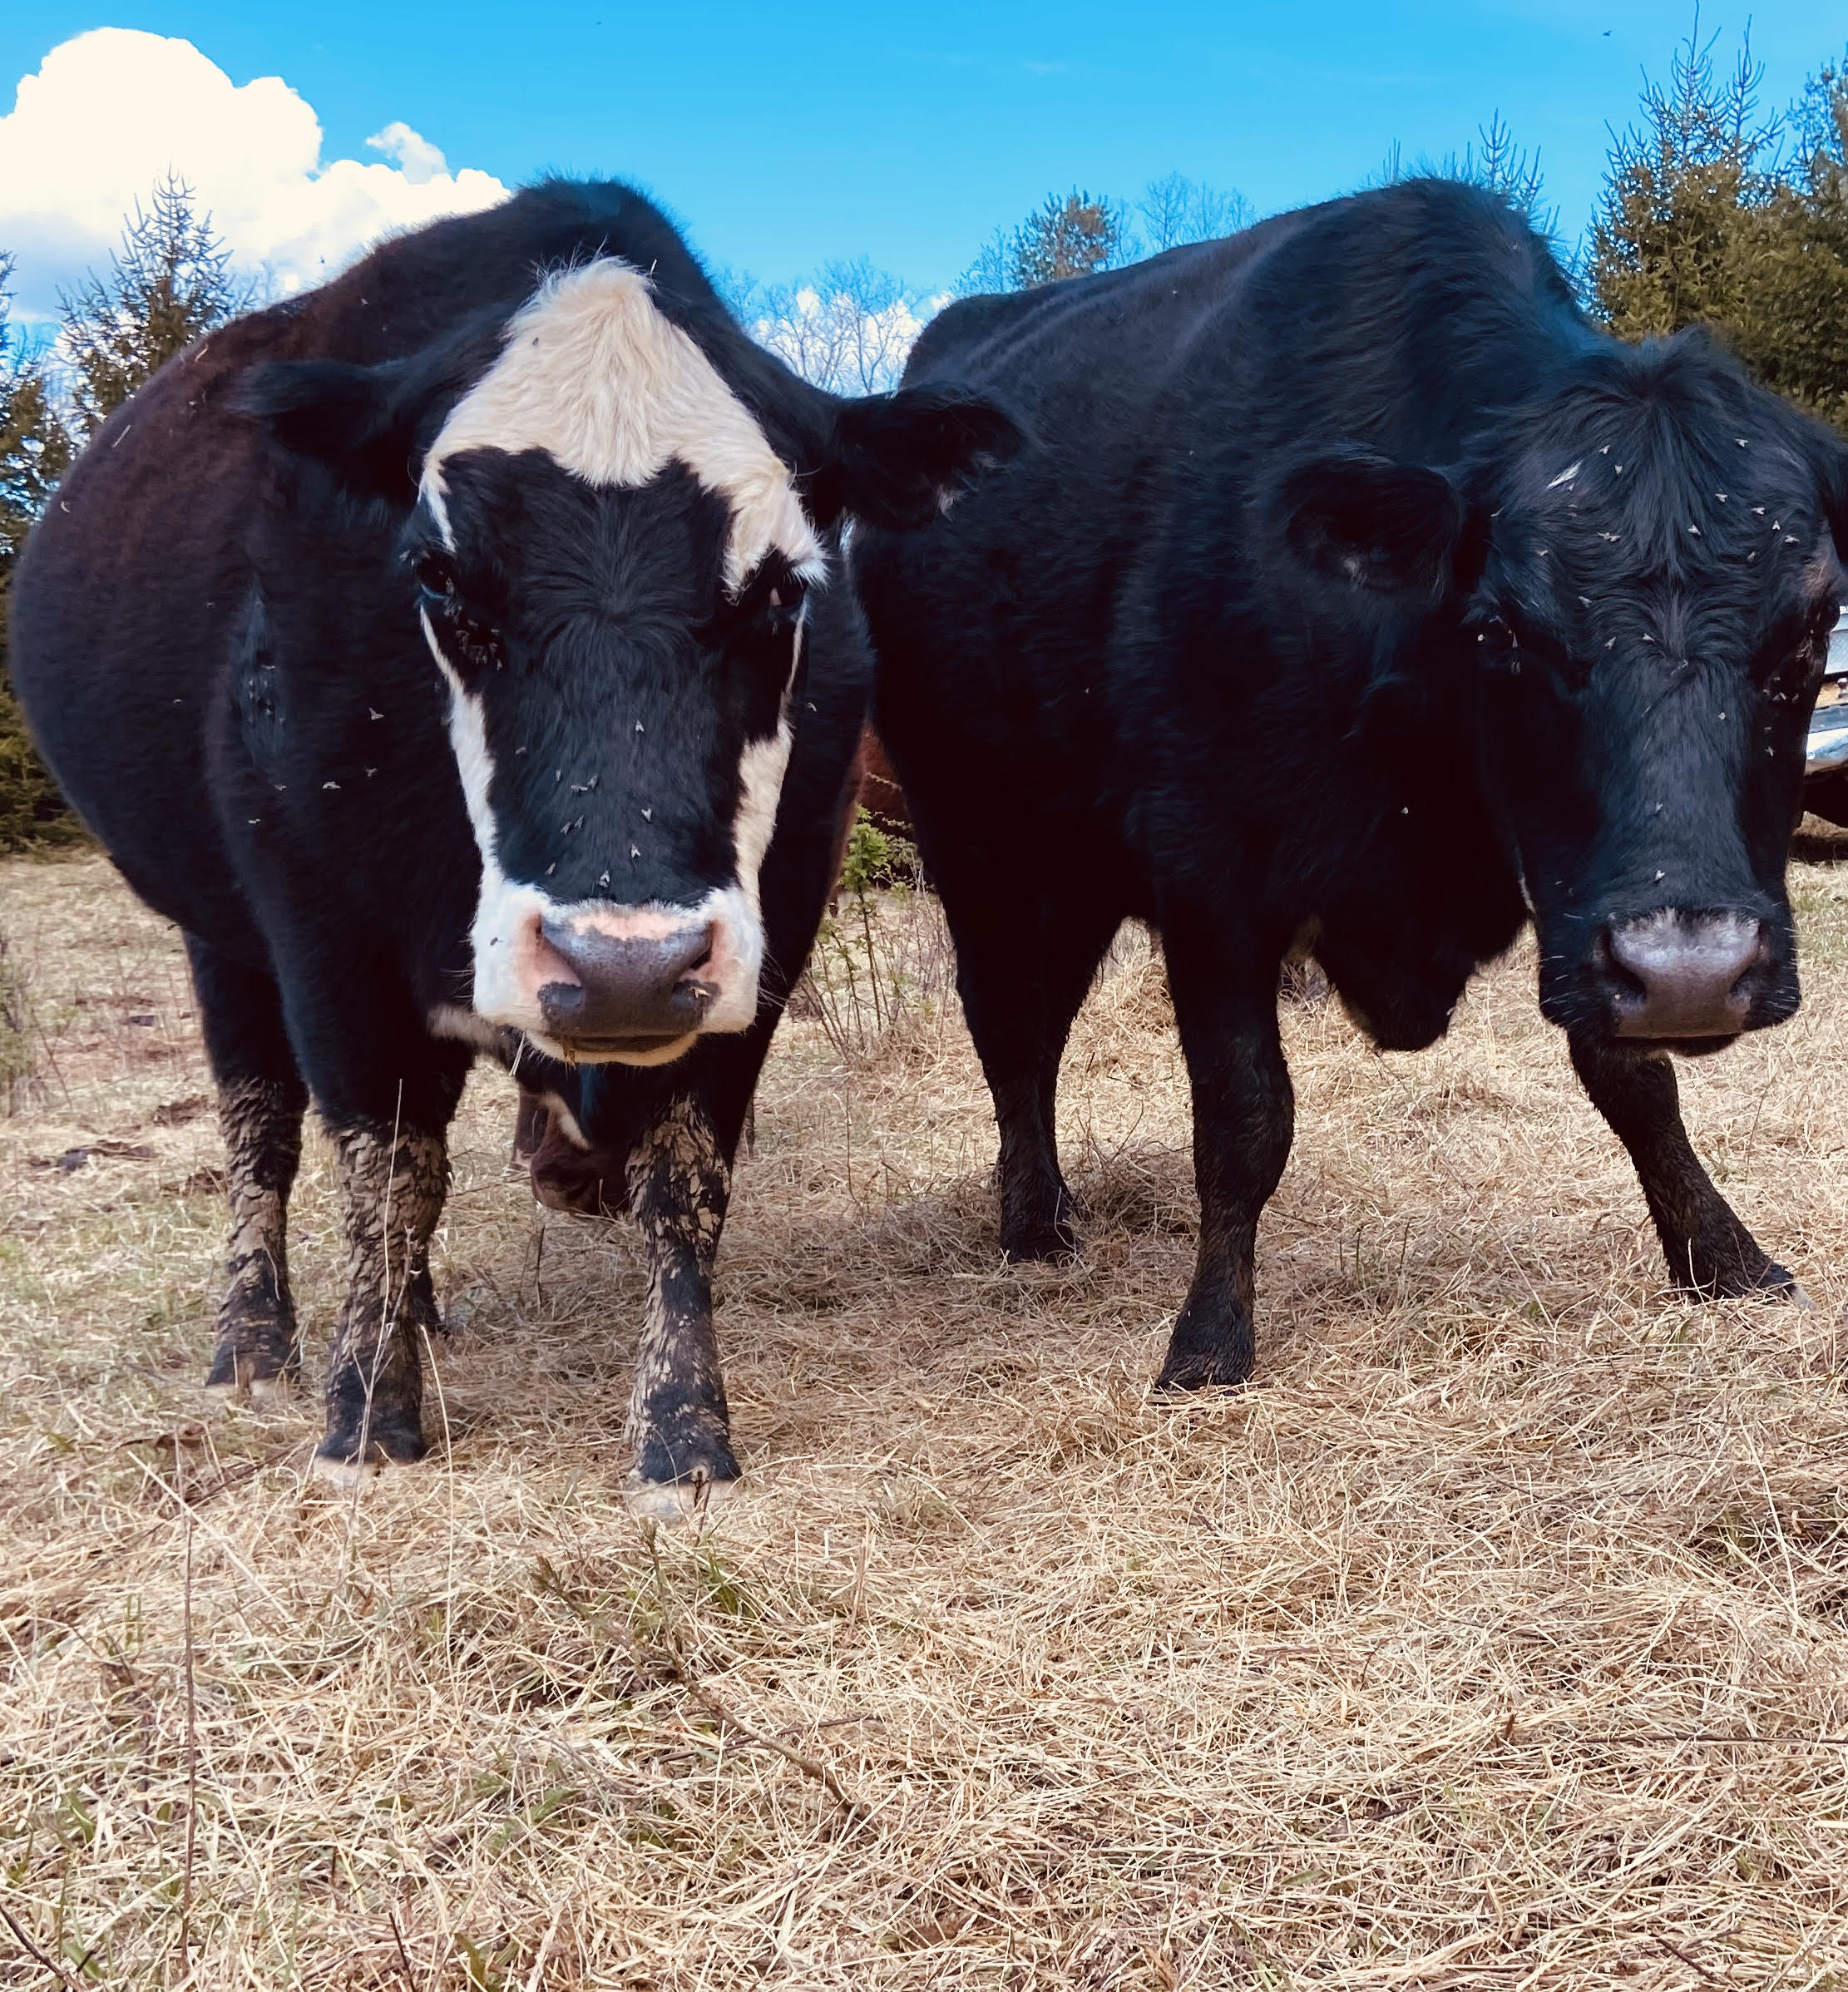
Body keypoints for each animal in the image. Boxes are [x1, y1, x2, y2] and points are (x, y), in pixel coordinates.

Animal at [7, 179, 1019, 1498]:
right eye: (439, 581)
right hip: (220, 938)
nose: (620, 965)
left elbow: (682, 1174)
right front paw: (365, 1415)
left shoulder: (766, 936)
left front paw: (683, 1431)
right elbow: (385, 1171)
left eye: (780, 589)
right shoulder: (326, 939)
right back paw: (257, 1340)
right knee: (263, 1127)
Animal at [856, 183, 1848, 1402]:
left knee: (1041, 1024)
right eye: (1500, 630)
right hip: (971, 838)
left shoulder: (1576, 892)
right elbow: (1242, 1115)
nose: (1692, 972)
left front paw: (1723, 1254)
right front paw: (1208, 1338)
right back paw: (1029, 1223)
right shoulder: (1209, 870)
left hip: (1075, 868)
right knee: (1004, 1022)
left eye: (1808, 626)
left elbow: (1630, 1075)